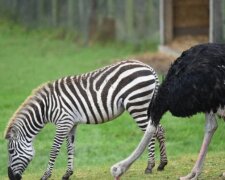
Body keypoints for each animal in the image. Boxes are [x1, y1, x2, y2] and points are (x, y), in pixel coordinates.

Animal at [4, 59, 167, 179]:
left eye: (11, 151)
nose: (11, 177)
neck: (46, 107)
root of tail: (149, 68)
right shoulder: (71, 124)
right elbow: (70, 147)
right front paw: (67, 174)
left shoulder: (63, 122)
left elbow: (54, 149)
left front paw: (46, 175)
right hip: (145, 106)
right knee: (159, 129)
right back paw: (161, 164)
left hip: (138, 105)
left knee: (150, 132)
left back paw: (150, 166)